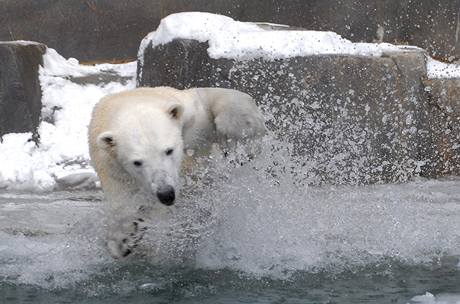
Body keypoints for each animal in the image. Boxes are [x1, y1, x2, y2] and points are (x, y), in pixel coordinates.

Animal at [88, 86, 264, 258]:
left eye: (169, 150)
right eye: (137, 162)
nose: (166, 194)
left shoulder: (191, 122)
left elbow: (210, 100)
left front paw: (241, 138)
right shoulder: (114, 171)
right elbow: (125, 206)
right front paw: (123, 239)